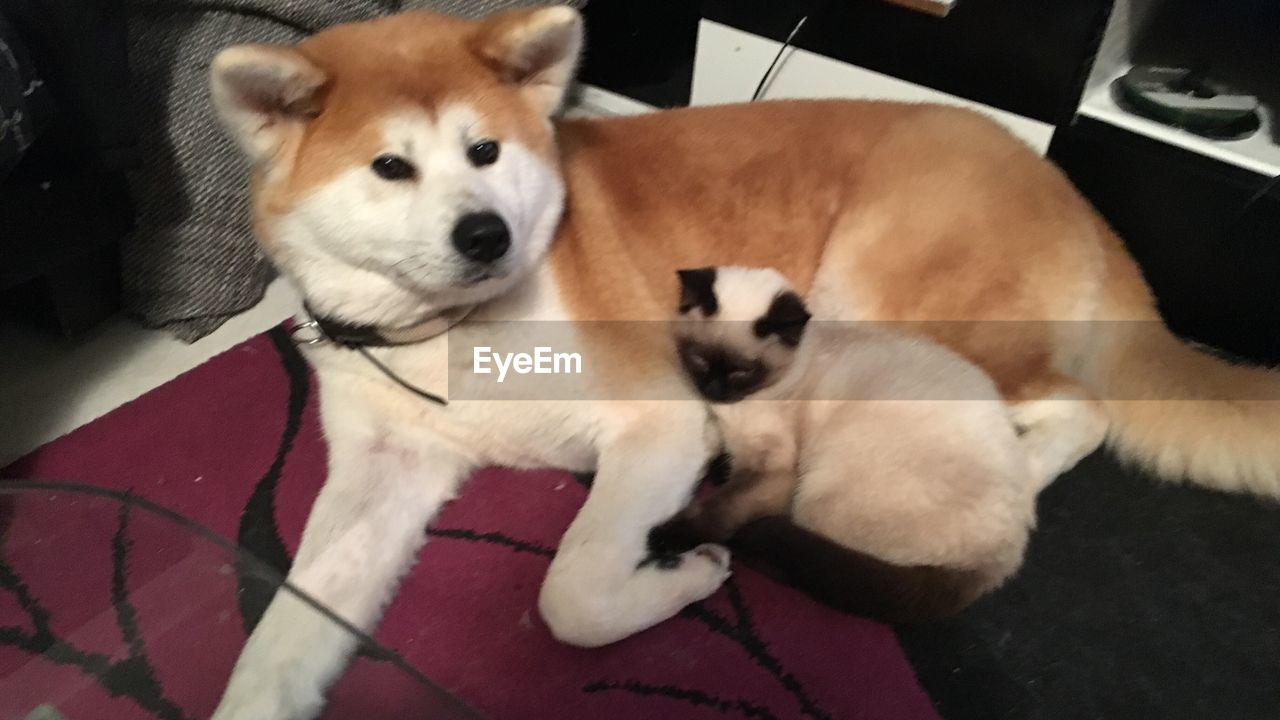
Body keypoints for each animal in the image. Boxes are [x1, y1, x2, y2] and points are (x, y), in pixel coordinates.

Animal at [660, 266, 1100, 620]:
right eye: (699, 361)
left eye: (741, 371)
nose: (713, 390)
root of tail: (1001, 557)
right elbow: (720, 460)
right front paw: (717, 467)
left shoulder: (772, 469)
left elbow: (720, 509)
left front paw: (668, 536)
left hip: (816, 490)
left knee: (815, 558)